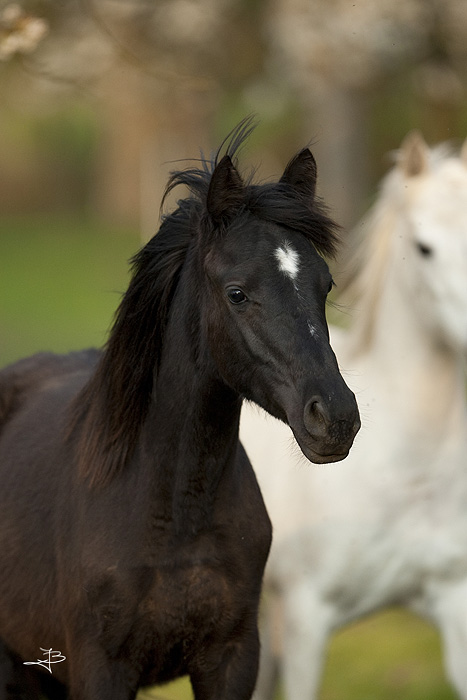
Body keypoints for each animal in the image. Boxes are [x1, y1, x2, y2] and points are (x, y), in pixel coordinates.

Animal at [0, 123, 362, 696]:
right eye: (237, 293)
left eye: (324, 286)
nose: (336, 418)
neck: (174, 515)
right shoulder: (101, 670)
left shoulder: (232, 660)